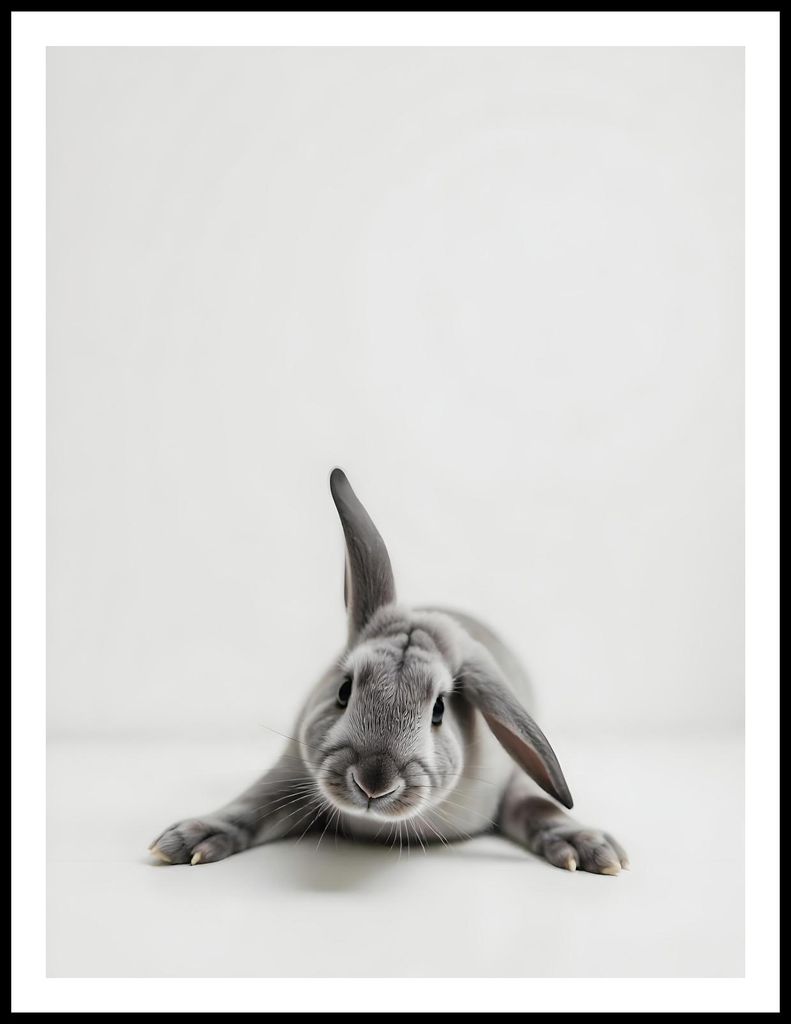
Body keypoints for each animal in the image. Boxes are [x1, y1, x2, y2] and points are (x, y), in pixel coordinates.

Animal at [149, 469, 628, 874]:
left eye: (439, 710)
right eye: (344, 690)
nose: (373, 782)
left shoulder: (513, 784)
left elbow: (540, 808)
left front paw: (591, 847)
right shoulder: (289, 775)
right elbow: (254, 804)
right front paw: (187, 839)